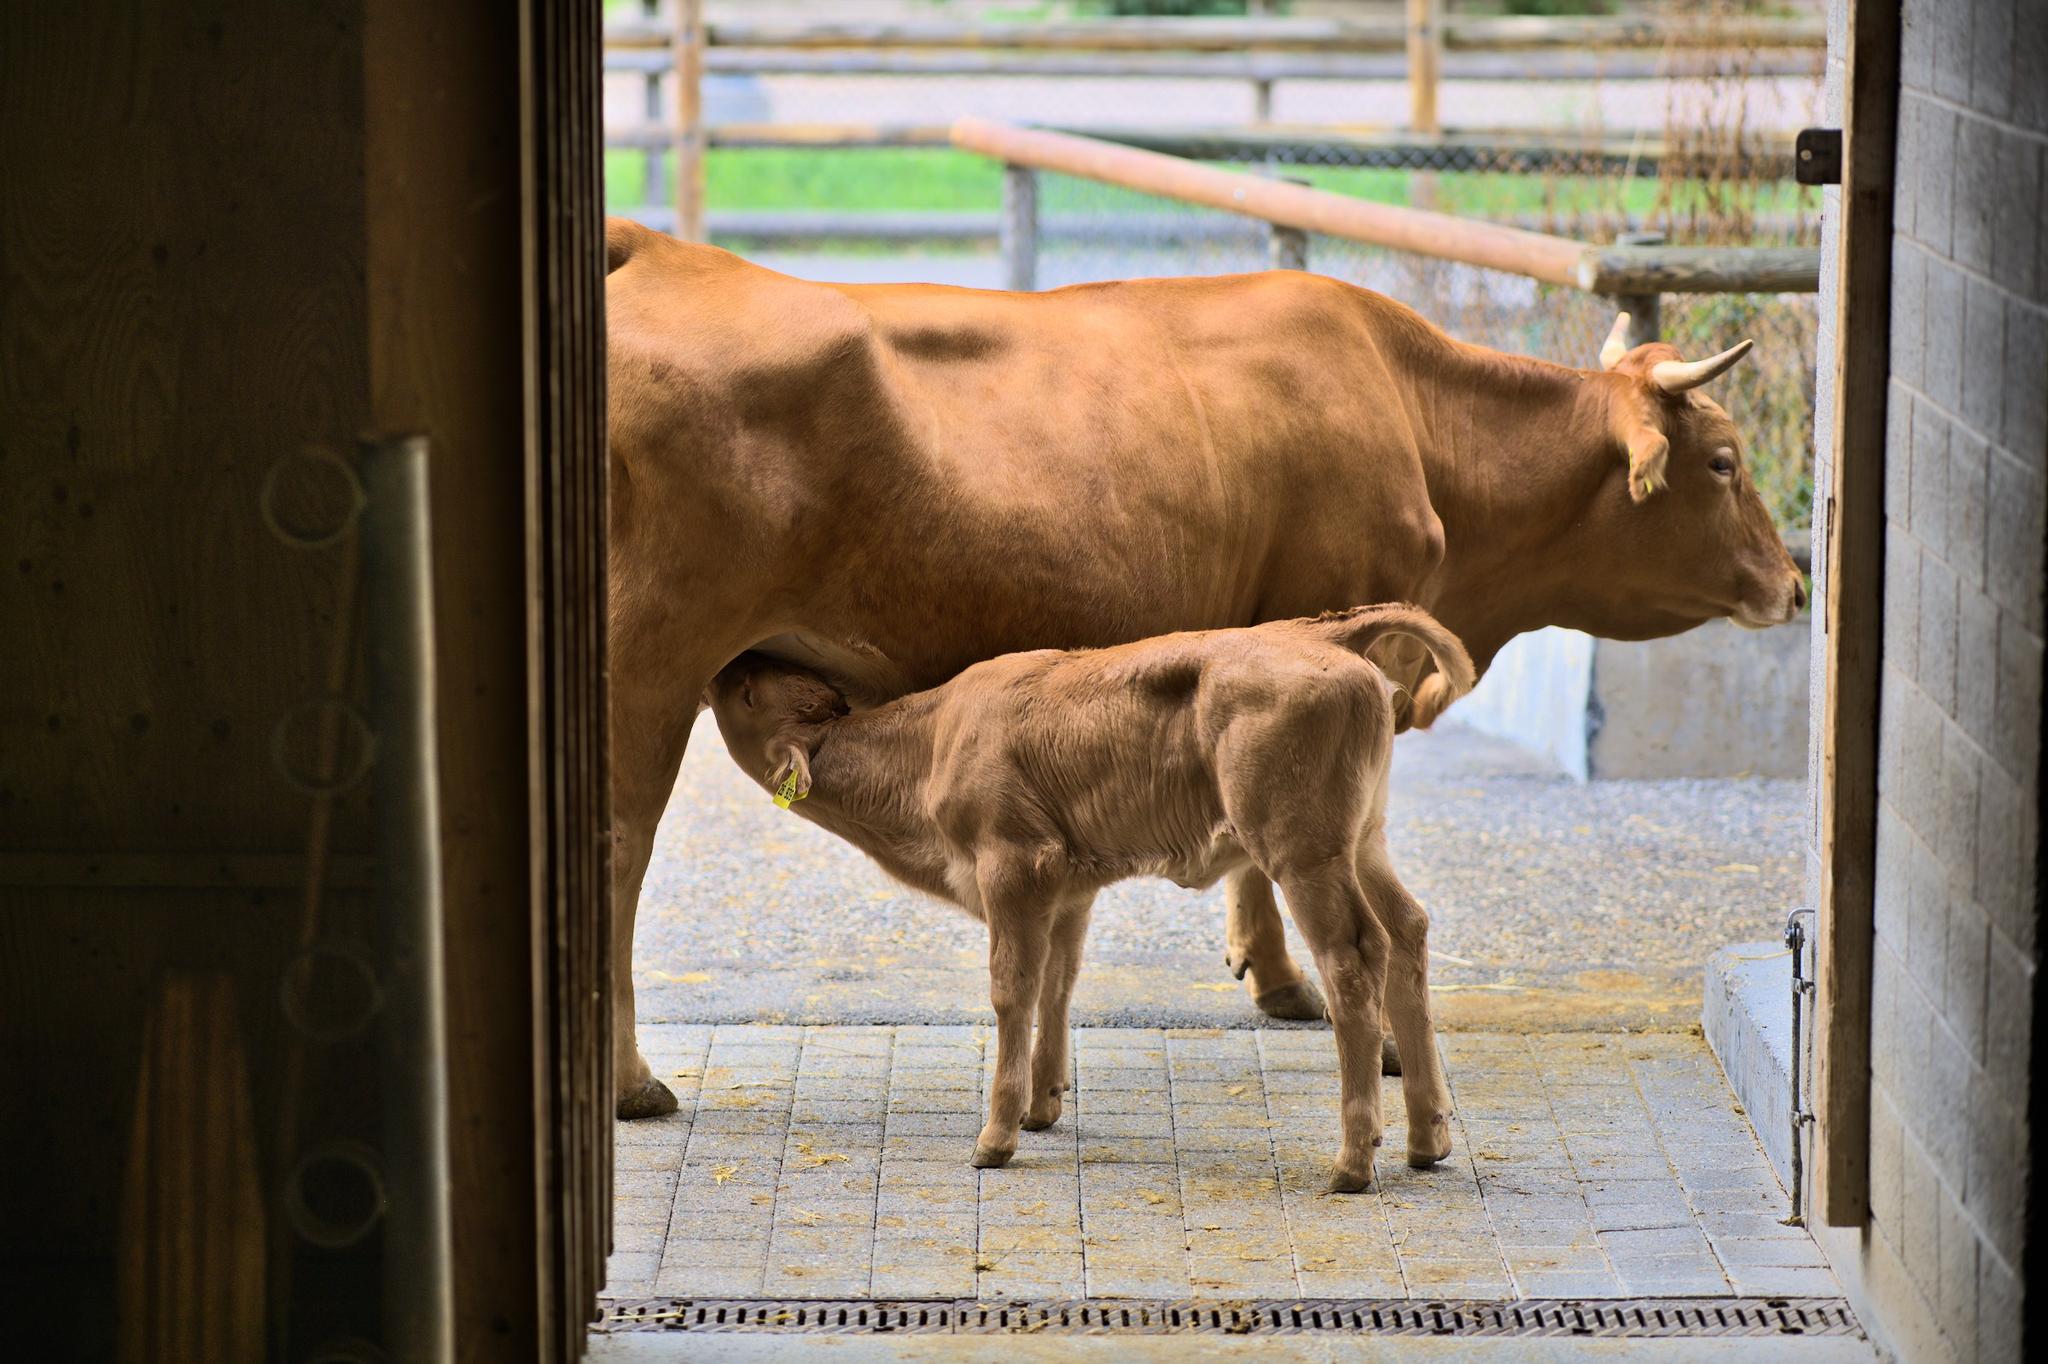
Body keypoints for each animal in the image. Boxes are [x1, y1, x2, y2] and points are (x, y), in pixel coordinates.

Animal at [605, 217, 1805, 1119]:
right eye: (1723, 461)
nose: (1794, 583)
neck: (1413, 414)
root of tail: (656, 249)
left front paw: (1273, 977)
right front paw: (1348, 1017)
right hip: (644, 667)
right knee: (618, 853)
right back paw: (630, 1083)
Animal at [705, 604, 1477, 1190]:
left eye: (748, 693)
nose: (727, 663)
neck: (931, 743)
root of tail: (1322, 635)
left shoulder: (1012, 867)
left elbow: (1012, 989)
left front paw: (996, 1136)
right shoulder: (1067, 890)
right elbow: (1058, 980)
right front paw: (1041, 1106)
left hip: (1302, 852)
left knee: (1355, 960)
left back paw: (1352, 1162)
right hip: (1363, 839)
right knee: (1408, 931)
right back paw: (1426, 1140)